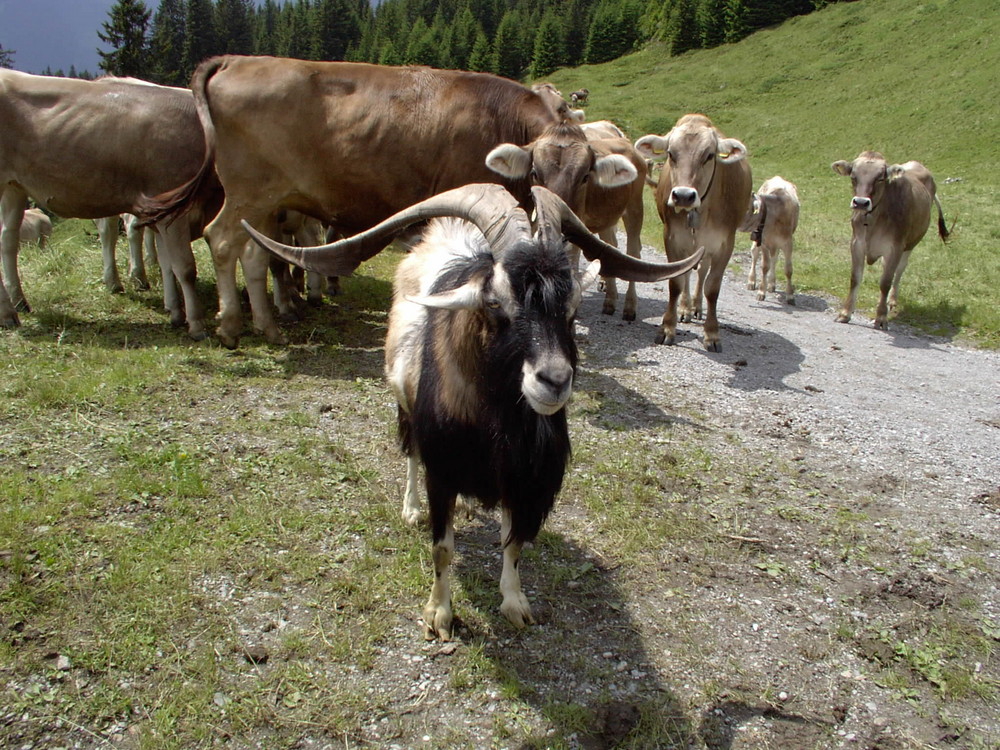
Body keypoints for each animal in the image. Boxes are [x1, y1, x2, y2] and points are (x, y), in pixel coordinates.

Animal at [142, 55, 584, 350]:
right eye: (536, 172)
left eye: (585, 173)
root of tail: (236, 59)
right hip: (247, 194)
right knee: (220, 241)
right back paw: (231, 325)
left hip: (265, 202)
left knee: (254, 256)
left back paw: (269, 326)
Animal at [632, 114, 752, 352]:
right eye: (671, 153)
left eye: (709, 155)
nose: (683, 196)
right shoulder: (673, 238)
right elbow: (676, 282)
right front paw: (667, 328)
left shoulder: (725, 244)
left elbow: (712, 288)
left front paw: (712, 334)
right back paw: (686, 308)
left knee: (702, 273)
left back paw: (696, 307)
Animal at [832, 151, 948, 330]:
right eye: (853, 176)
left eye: (880, 178)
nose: (861, 202)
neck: (873, 218)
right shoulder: (857, 243)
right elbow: (855, 278)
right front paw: (845, 313)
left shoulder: (895, 248)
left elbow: (885, 282)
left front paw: (881, 317)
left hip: (910, 245)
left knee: (899, 271)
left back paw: (891, 301)